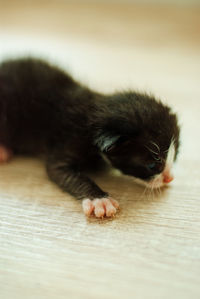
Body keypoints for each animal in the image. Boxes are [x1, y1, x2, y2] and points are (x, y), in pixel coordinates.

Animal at [0, 58, 180, 218]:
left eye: (175, 156)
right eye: (152, 165)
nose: (169, 178)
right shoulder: (68, 140)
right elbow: (61, 171)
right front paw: (100, 200)